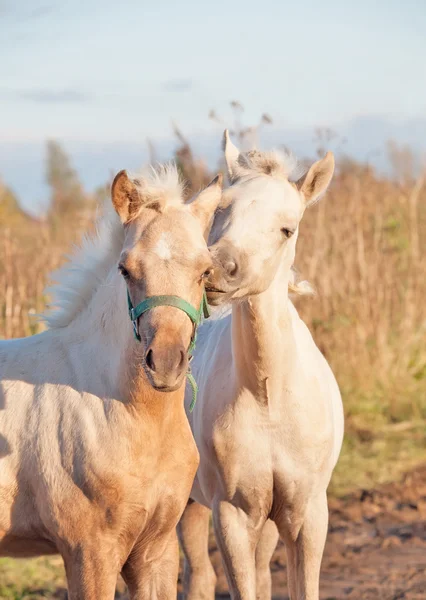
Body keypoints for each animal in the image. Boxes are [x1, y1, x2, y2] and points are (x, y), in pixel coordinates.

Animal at [178, 134, 344, 596]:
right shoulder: (231, 515)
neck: (268, 399)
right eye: (219, 211)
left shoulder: (307, 515)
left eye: (287, 228)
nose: (219, 269)